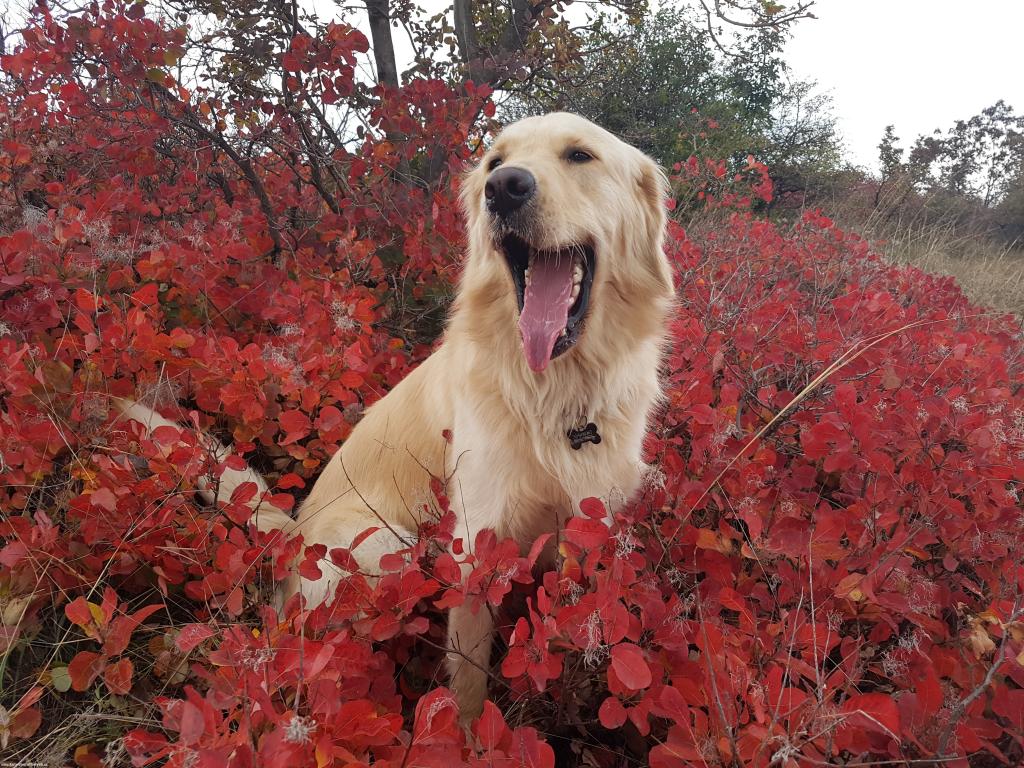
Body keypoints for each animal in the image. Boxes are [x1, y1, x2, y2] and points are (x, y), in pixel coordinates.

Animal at [115, 112, 674, 721]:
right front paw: (466, 735)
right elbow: (468, 685)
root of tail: (291, 537)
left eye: (579, 155)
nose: (503, 189)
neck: (559, 392)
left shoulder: (591, 527)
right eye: (495, 162)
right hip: (388, 547)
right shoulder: (476, 549)